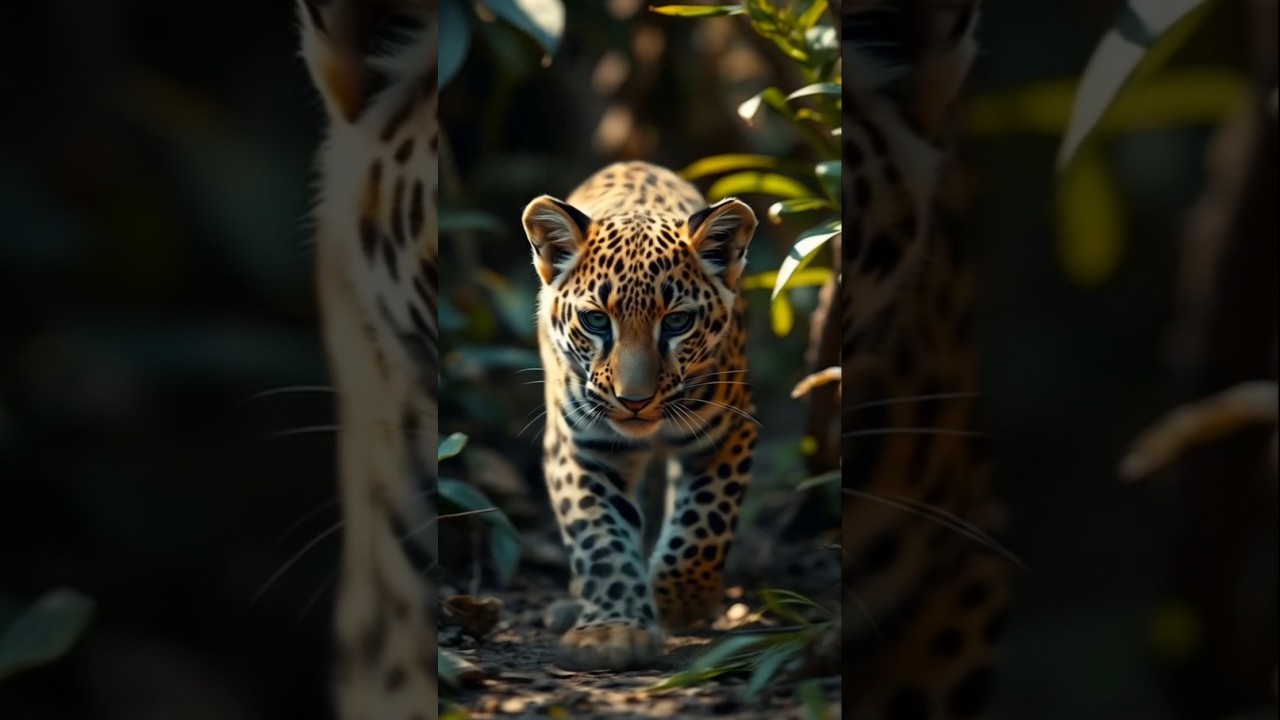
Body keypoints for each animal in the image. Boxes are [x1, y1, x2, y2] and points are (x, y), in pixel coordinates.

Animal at [520, 161, 759, 670]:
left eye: (676, 322)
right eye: (595, 320)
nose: (634, 400)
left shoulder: (729, 432)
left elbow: (703, 528)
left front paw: (676, 603)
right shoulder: (583, 449)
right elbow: (599, 536)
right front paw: (611, 632)